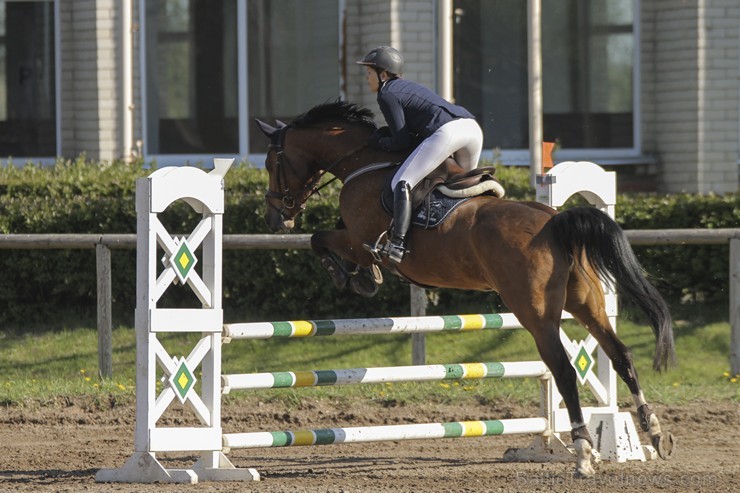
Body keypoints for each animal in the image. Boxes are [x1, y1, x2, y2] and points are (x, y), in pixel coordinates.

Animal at [256, 101, 676, 476]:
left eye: (271, 164)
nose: (277, 218)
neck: (362, 162)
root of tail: (553, 220)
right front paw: (364, 277)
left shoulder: (359, 239)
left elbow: (321, 239)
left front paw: (353, 276)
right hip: (587, 303)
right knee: (620, 355)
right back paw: (654, 433)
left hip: (536, 314)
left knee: (564, 370)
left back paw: (584, 454)